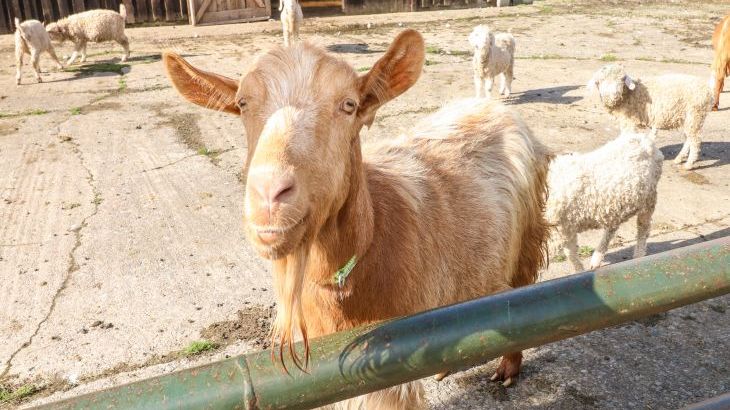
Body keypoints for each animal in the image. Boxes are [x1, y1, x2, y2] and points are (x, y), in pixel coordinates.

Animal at [164, 28, 552, 406]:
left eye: (348, 105)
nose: (269, 194)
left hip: (526, 242)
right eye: (243, 104)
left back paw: (508, 369)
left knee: (520, 298)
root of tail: (490, 106)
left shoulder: (393, 371)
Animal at [544, 131, 664, 272]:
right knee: (613, 226)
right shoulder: (563, 228)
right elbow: (571, 253)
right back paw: (596, 259)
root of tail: (647, 139)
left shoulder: (558, 229)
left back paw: (638, 256)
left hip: (649, 198)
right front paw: (579, 271)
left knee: (643, 227)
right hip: (616, 204)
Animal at [584, 65, 712, 170]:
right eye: (601, 80)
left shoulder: (629, 120)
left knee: (695, 140)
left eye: (622, 79)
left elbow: (627, 138)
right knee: (688, 139)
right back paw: (679, 159)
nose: (615, 94)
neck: (628, 95)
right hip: (687, 118)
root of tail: (707, 90)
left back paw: (689, 165)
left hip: (695, 115)